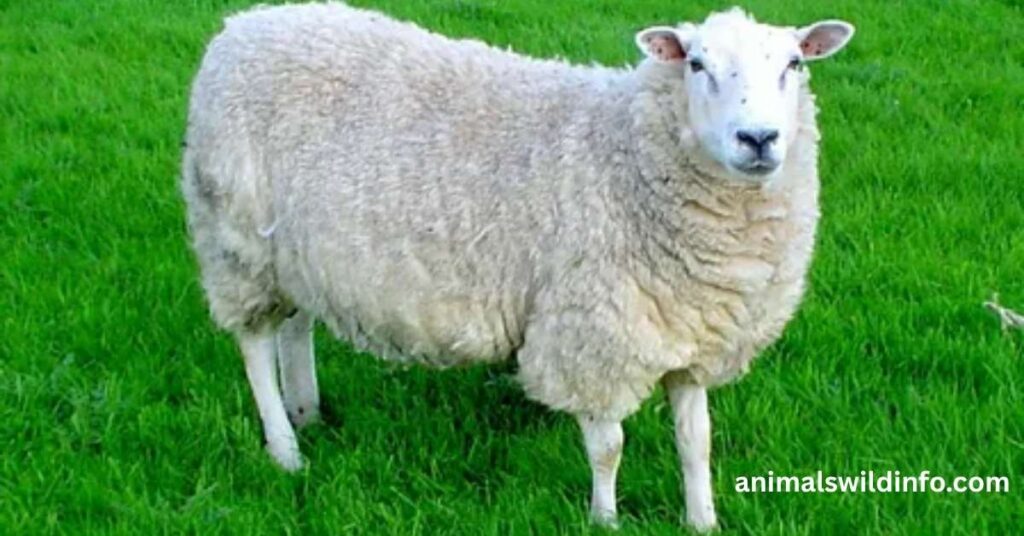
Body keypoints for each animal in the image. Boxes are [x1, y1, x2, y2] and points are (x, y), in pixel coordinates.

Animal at [181, 3, 854, 530]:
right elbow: (608, 447)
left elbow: (697, 443)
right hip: (235, 238)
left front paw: (703, 520)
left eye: (794, 64)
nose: (758, 139)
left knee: (296, 327)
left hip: (292, 251)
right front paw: (604, 520)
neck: (628, 154)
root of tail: (242, 25)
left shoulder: (687, 330)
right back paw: (286, 447)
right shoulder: (592, 332)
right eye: (695, 64)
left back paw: (309, 411)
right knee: (255, 344)